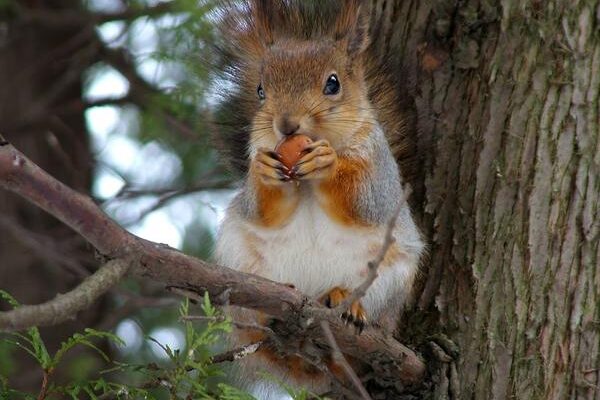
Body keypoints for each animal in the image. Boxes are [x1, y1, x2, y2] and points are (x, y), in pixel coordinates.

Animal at [211, 0, 422, 396]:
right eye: (260, 91)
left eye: (333, 84)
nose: (286, 124)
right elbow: (259, 208)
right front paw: (265, 171)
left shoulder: (381, 173)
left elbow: (365, 200)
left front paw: (328, 163)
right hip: (237, 261)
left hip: (389, 282)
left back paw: (345, 302)